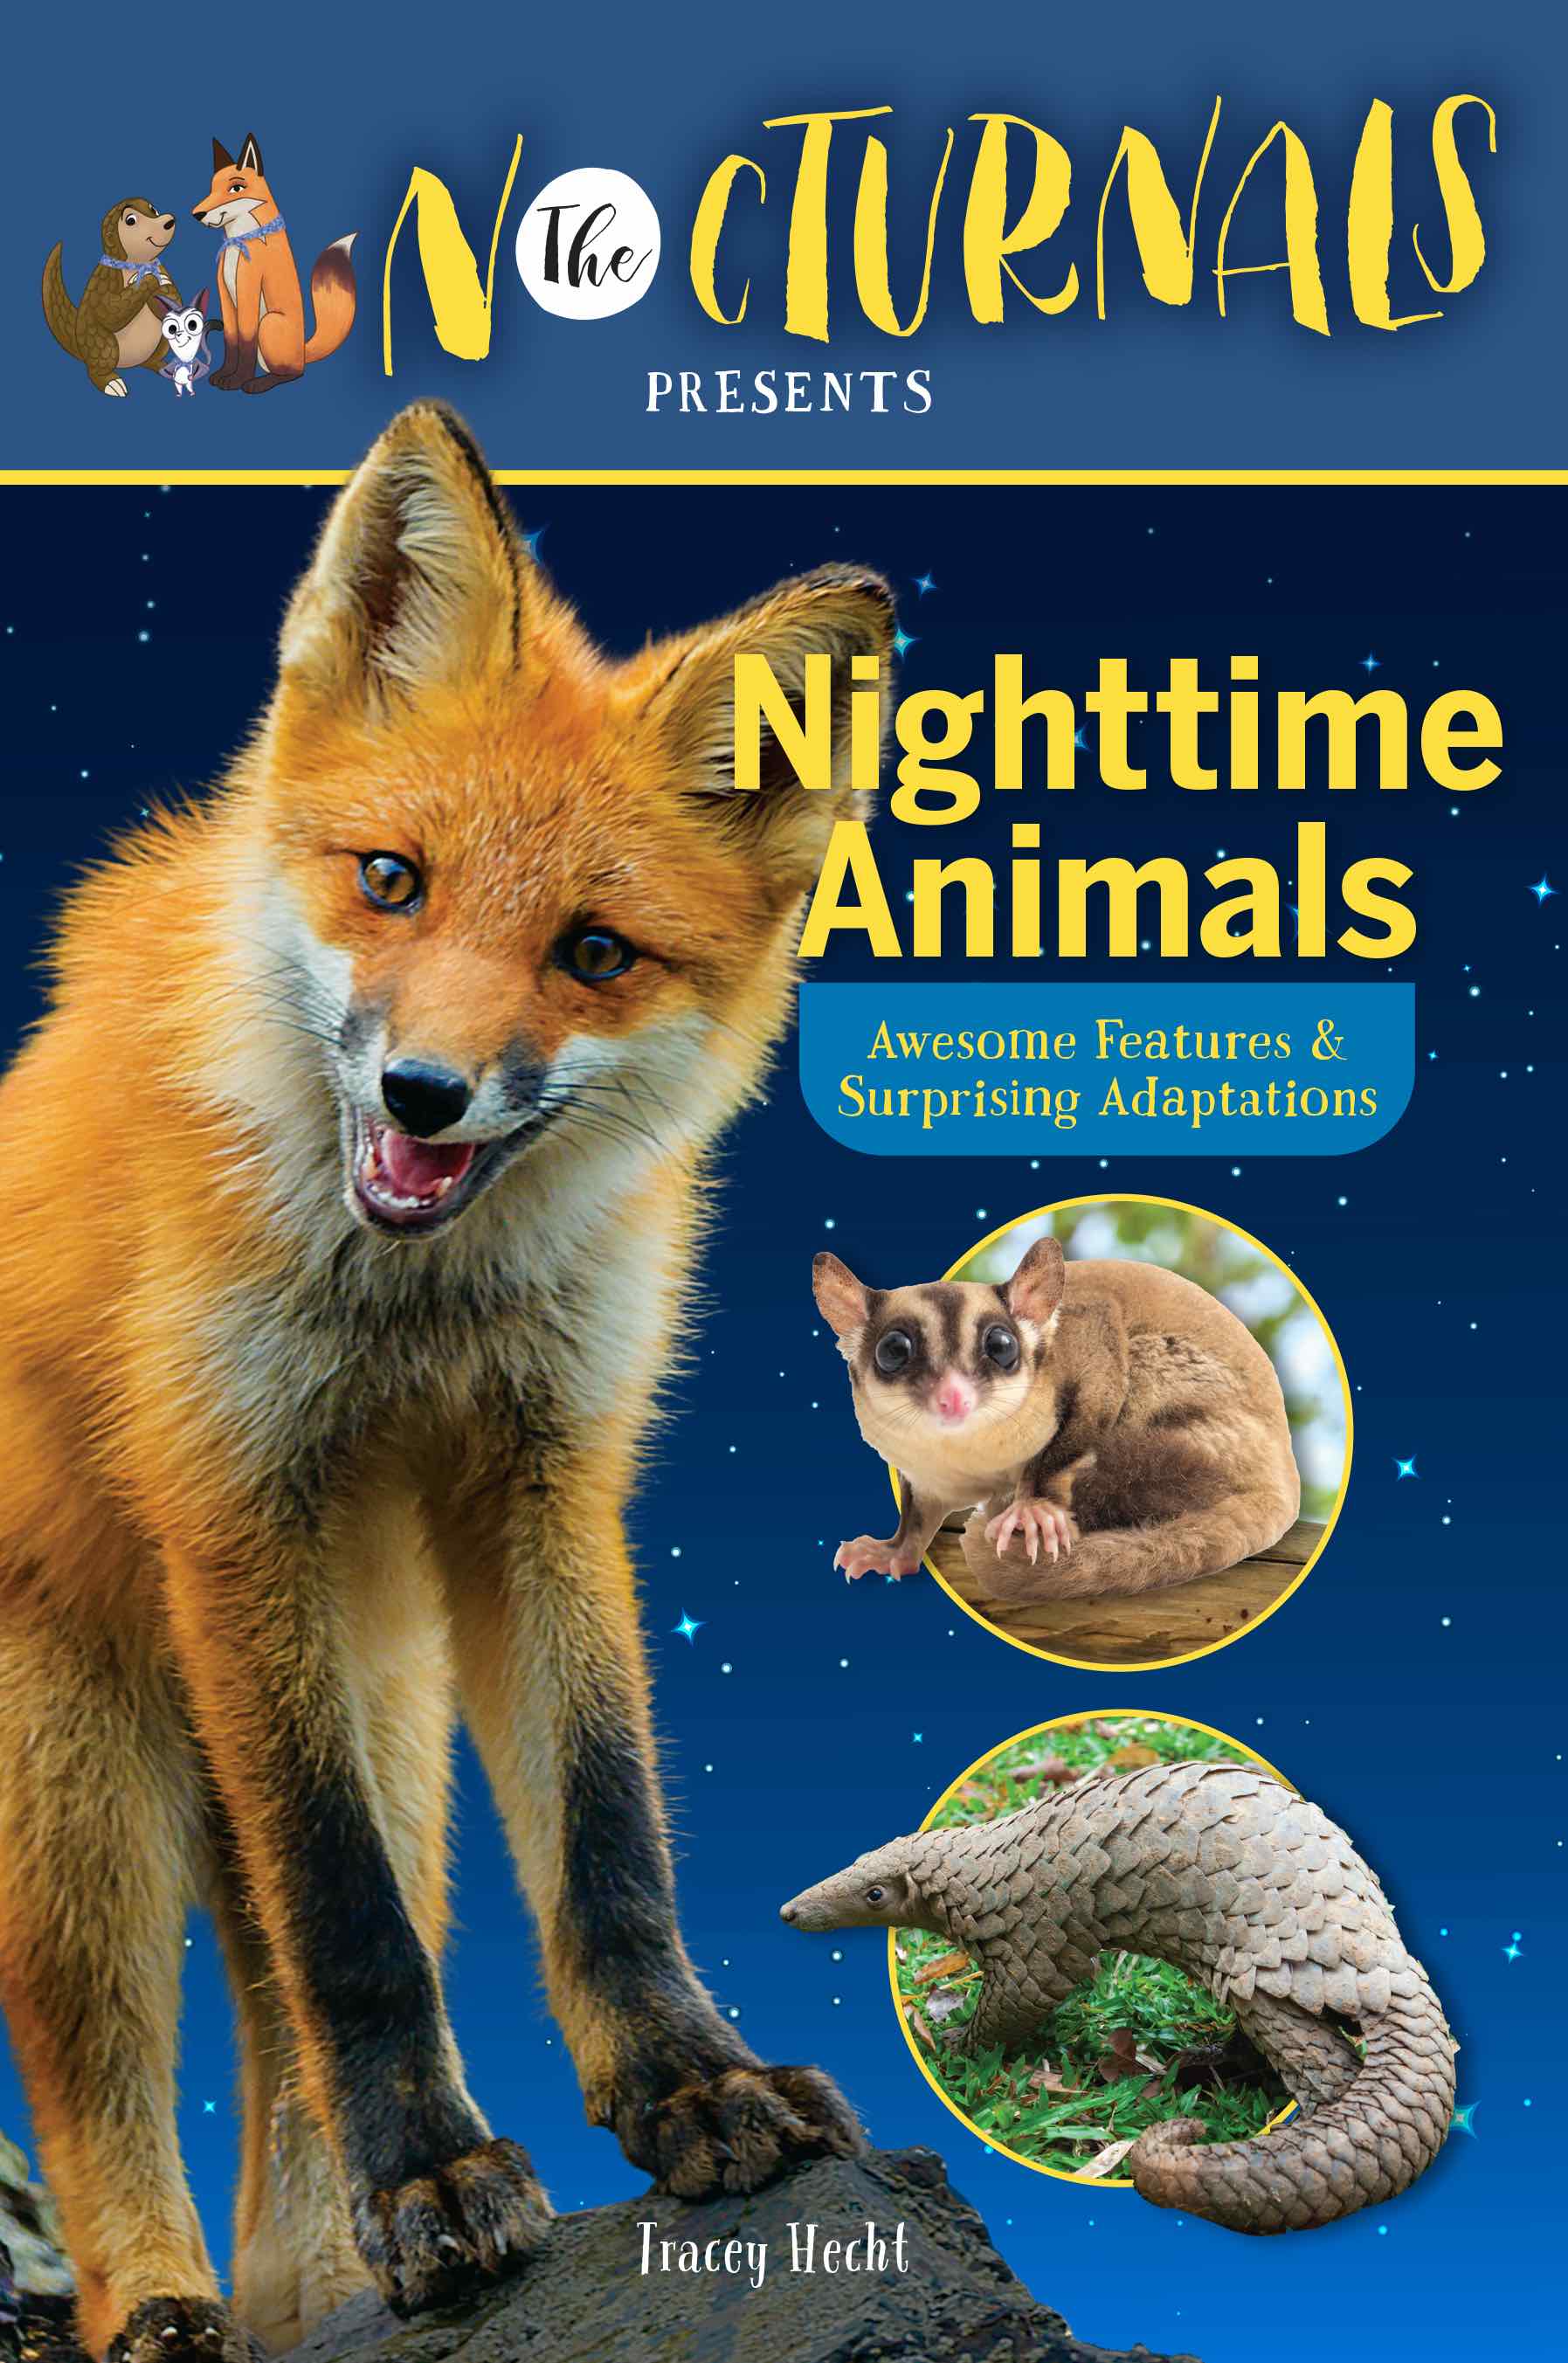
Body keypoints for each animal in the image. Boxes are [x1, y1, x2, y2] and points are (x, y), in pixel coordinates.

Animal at [0, 402, 892, 2363]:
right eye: (390, 880)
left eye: (592, 952)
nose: (422, 1093)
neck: (413, 1312)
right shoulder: (232, 1497)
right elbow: (350, 1935)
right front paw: (433, 2171)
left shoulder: (543, 1476)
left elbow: (610, 1837)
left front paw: (689, 2086)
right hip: (87, 1799)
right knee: (108, 2087)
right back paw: (162, 2304)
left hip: (382, 1717)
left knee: (280, 2084)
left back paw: (332, 2291)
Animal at [192, 136, 356, 392]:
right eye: (211, 189)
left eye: (235, 188)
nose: (197, 214)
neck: (240, 240)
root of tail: (303, 351)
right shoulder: (226, 296)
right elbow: (232, 342)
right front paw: (224, 374)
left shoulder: (247, 290)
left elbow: (245, 343)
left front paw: (237, 380)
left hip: (269, 323)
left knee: (293, 373)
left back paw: (259, 383)